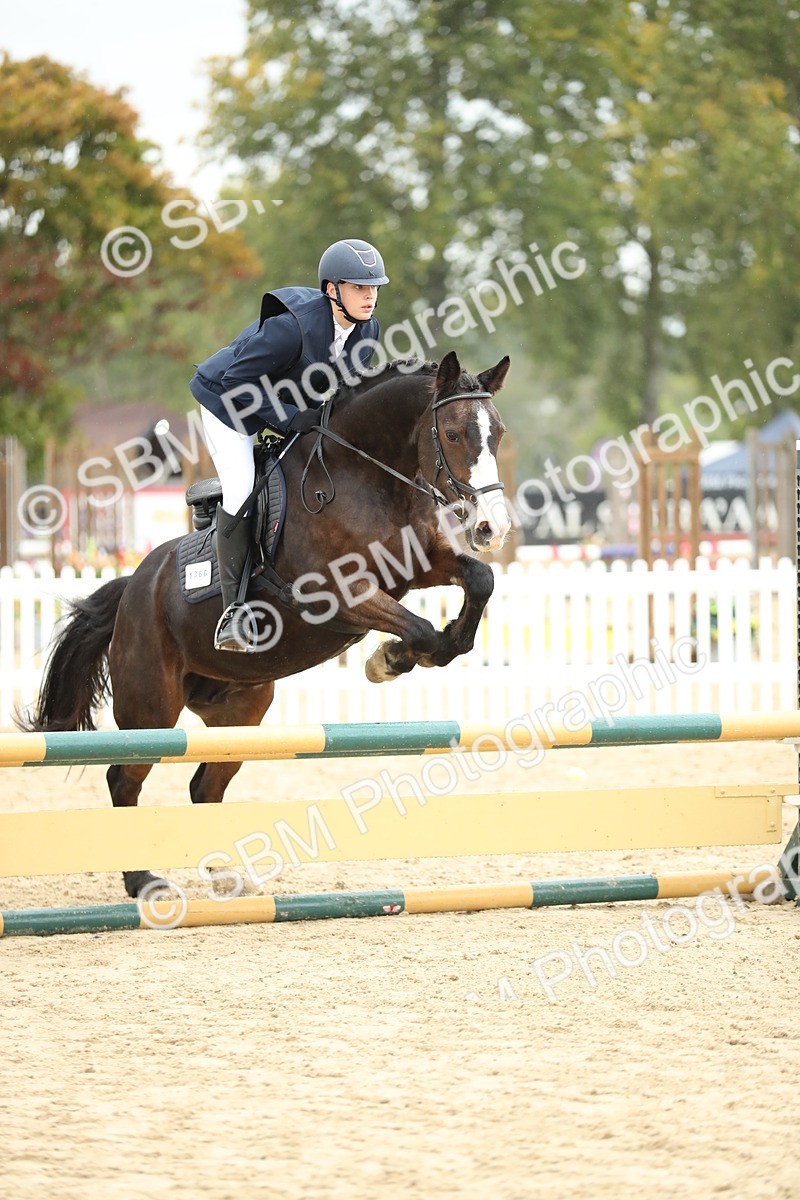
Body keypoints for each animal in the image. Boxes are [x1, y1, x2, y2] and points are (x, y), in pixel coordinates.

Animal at [19, 350, 511, 897]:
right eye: (453, 434)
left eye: (498, 433)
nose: (492, 528)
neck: (365, 475)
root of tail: (132, 587)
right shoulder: (333, 593)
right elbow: (421, 628)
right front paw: (388, 660)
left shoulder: (419, 566)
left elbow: (481, 580)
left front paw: (425, 650)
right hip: (150, 708)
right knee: (124, 779)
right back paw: (144, 881)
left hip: (241, 710)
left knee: (205, 784)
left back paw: (225, 874)